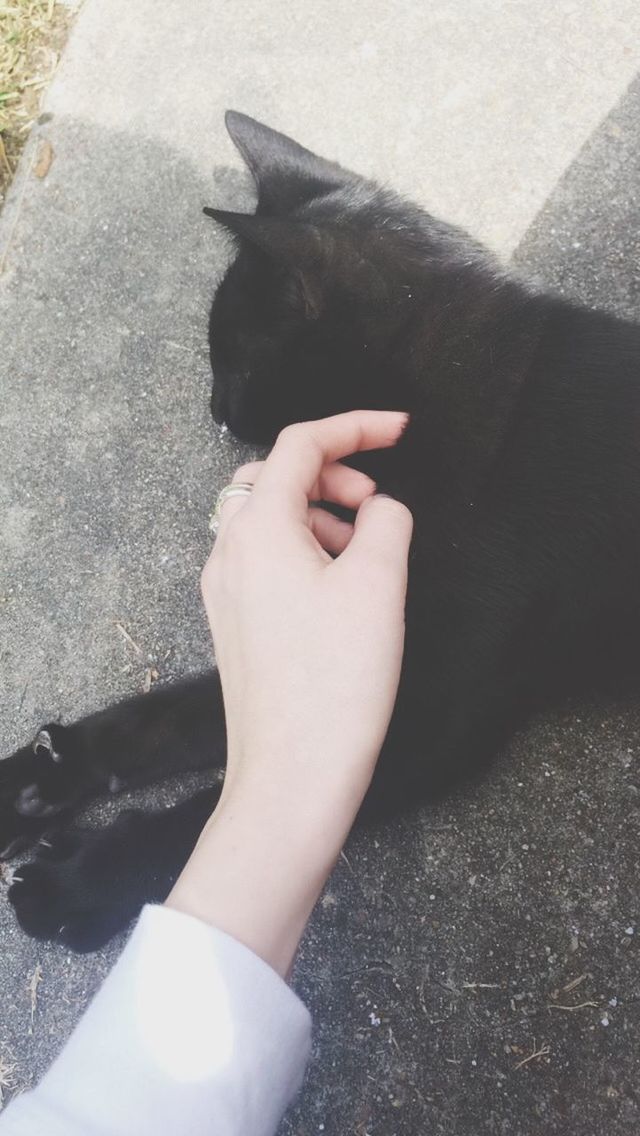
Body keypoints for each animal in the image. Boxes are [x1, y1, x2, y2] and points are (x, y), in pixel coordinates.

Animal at [5, 113, 640, 949]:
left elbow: (203, 824)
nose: (215, 411)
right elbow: (178, 714)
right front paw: (40, 776)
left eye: (234, 363)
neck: (470, 398)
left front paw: (84, 882)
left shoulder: (432, 710)